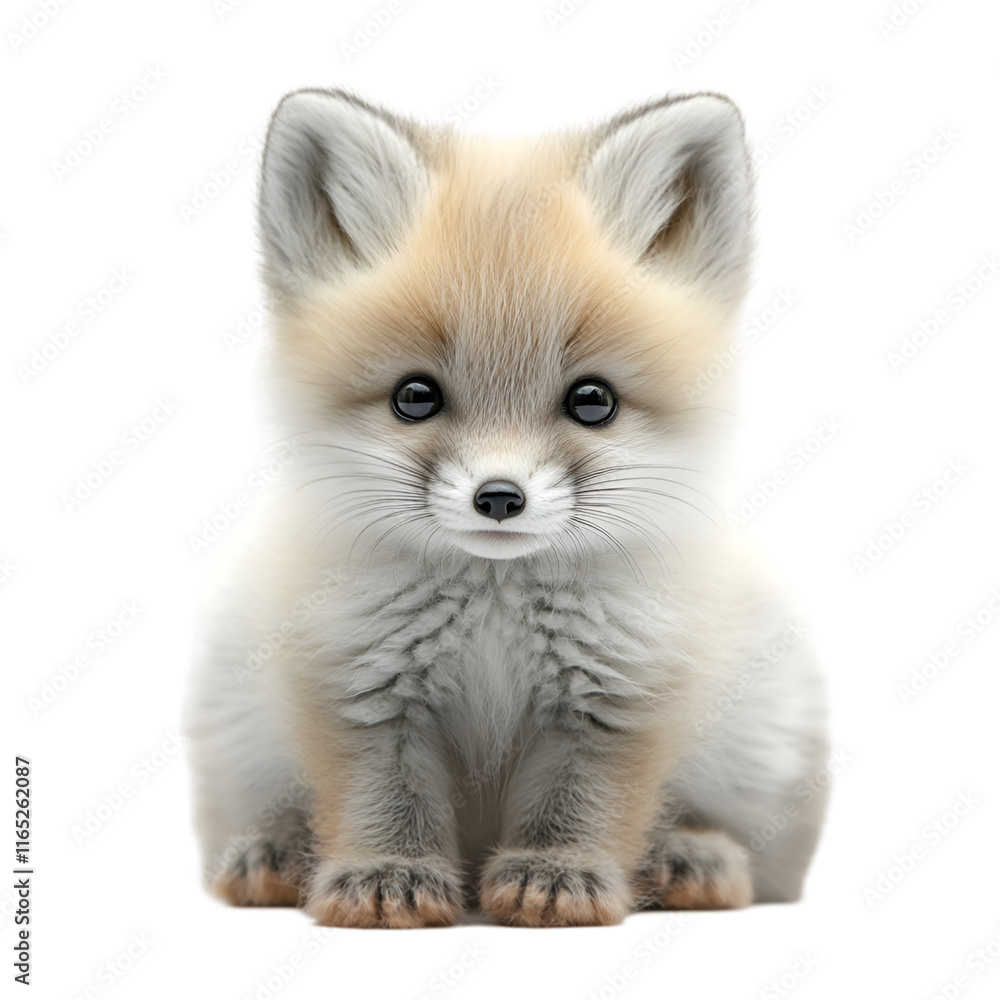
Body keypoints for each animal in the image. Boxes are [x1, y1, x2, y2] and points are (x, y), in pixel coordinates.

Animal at [184, 88, 829, 928]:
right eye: (414, 396)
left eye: (593, 400)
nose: (498, 498)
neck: (495, 613)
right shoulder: (361, 681)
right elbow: (380, 798)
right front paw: (386, 877)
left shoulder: (616, 690)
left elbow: (582, 803)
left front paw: (559, 875)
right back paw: (277, 852)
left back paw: (687, 858)